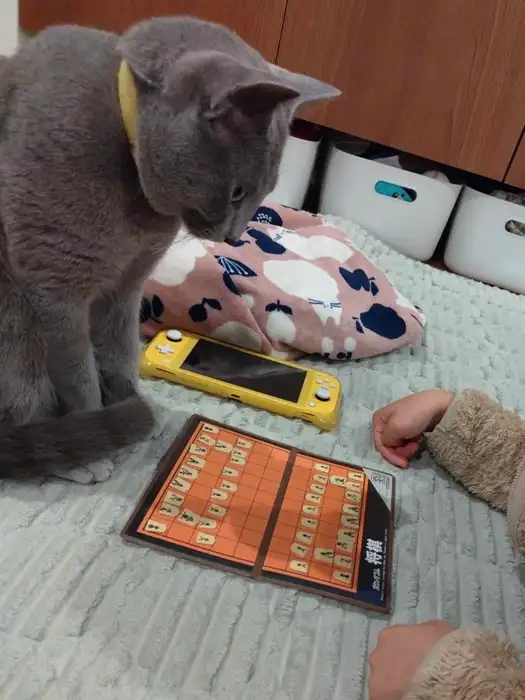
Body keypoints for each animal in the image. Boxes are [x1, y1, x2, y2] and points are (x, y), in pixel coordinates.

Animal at [0, 16, 339, 483]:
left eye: (263, 193)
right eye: (237, 192)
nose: (235, 237)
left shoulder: (126, 286)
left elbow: (121, 352)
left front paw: (130, 403)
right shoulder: (55, 283)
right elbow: (78, 373)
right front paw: (95, 441)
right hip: (14, 327)